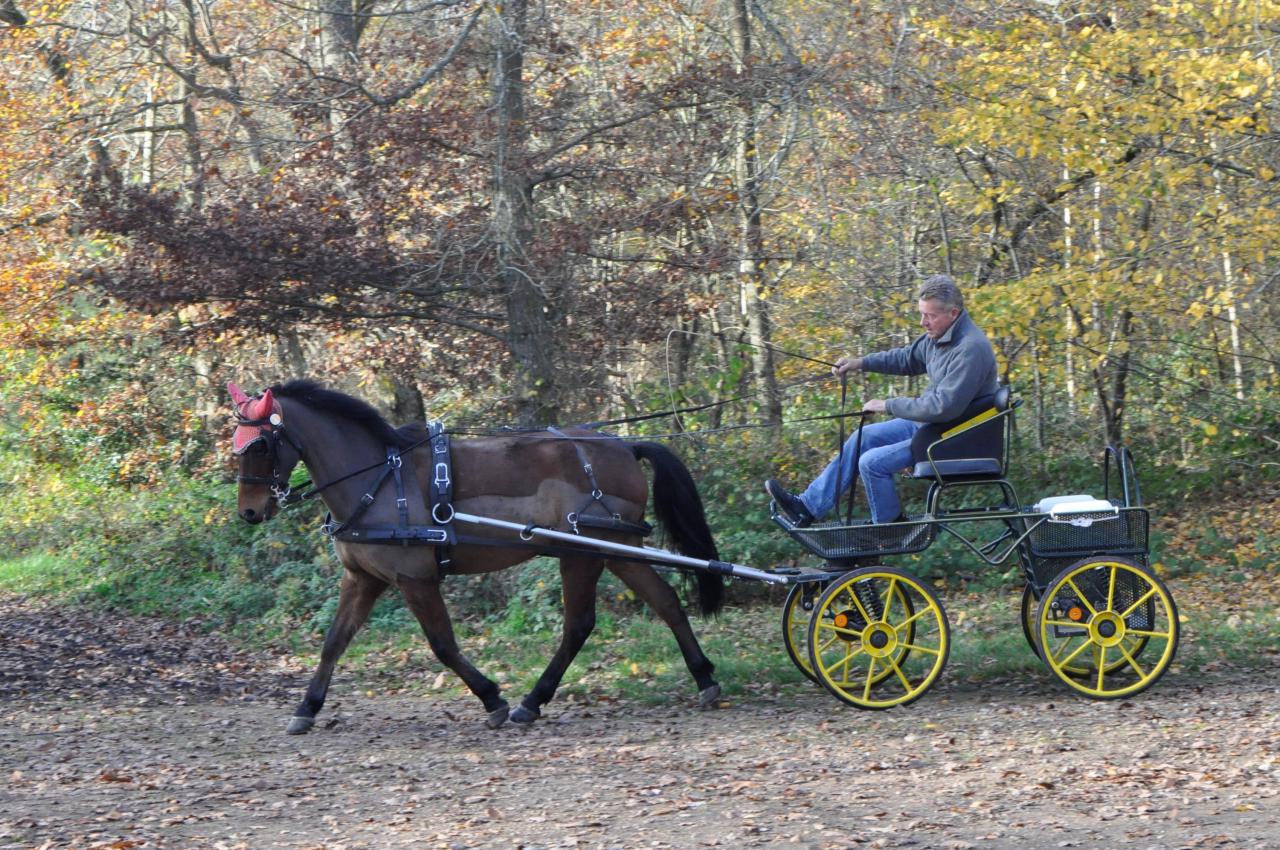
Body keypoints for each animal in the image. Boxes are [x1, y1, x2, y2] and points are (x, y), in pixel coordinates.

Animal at [229, 379, 724, 733]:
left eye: (260, 444)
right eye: (236, 440)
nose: (250, 511)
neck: (379, 478)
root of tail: (624, 445)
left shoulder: (416, 579)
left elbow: (443, 644)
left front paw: (492, 698)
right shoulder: (362, 579)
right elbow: (334, 641)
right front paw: (307, 706)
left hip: (581, 553)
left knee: (579, 624)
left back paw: (531, 701)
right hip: (618, 550)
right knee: (666, 602)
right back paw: (704, 678)